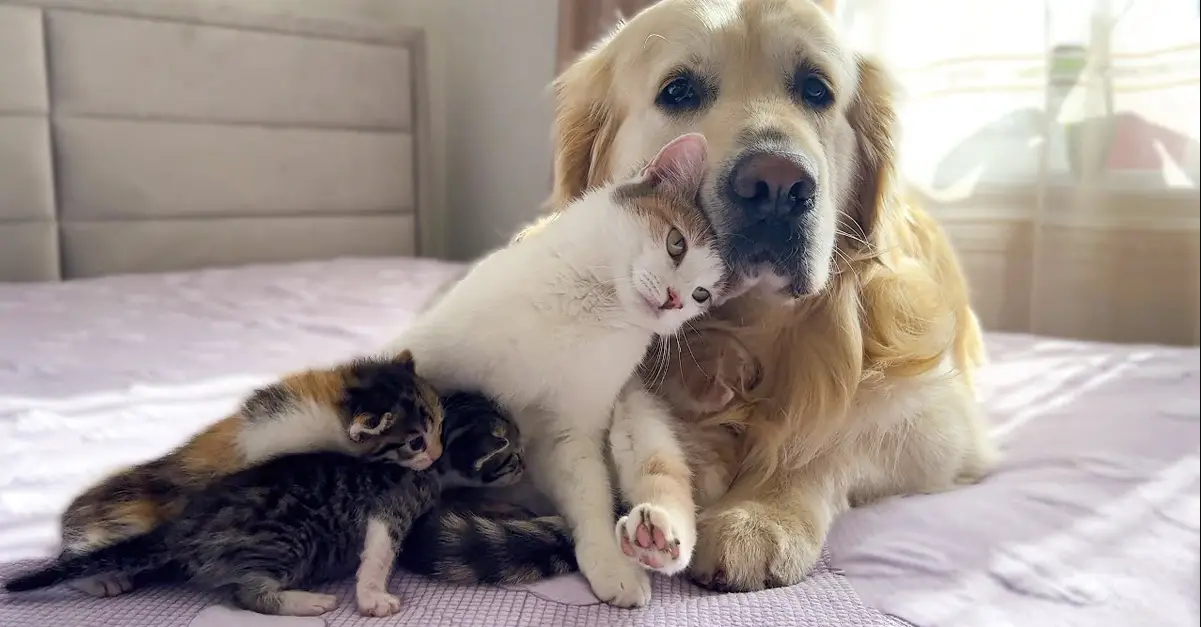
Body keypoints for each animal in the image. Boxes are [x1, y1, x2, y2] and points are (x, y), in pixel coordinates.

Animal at [3, 396, 521, 614]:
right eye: (511, 452)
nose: (523, 465)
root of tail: (184, 526)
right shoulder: (389, 503)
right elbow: (379, 550)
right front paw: (373, 596)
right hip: (282, 539)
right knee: (245, 594)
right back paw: (308, 602)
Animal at [384, 132, 720, 605]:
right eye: (677, 244)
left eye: (702, 295)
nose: (675, 300)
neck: (590, 308)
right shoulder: (422, 352)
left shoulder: (571, 431)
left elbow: (590, 496)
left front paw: (610, 562)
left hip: (639, 416)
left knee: (661, 479)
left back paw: (653, 538)